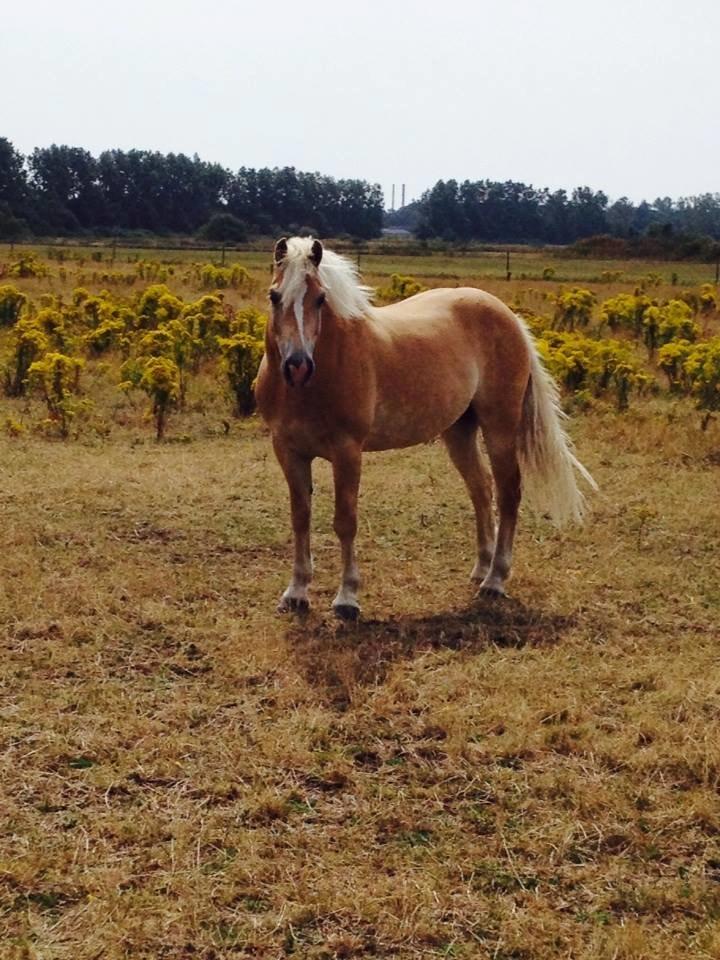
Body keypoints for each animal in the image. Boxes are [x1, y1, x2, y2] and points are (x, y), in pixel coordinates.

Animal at [255, 236, 596, 620]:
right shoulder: (288, 451)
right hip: (459, 431)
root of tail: (509, 316)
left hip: (500, 428)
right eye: (274, 296)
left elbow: (345, 521)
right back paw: (481, 568)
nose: (297, 366)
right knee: (481, 489)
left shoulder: (347, 452)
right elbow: (300, 518)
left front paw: (347, 599)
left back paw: (495, 580)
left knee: (508, 493)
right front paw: (296, 593)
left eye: (320, 298)